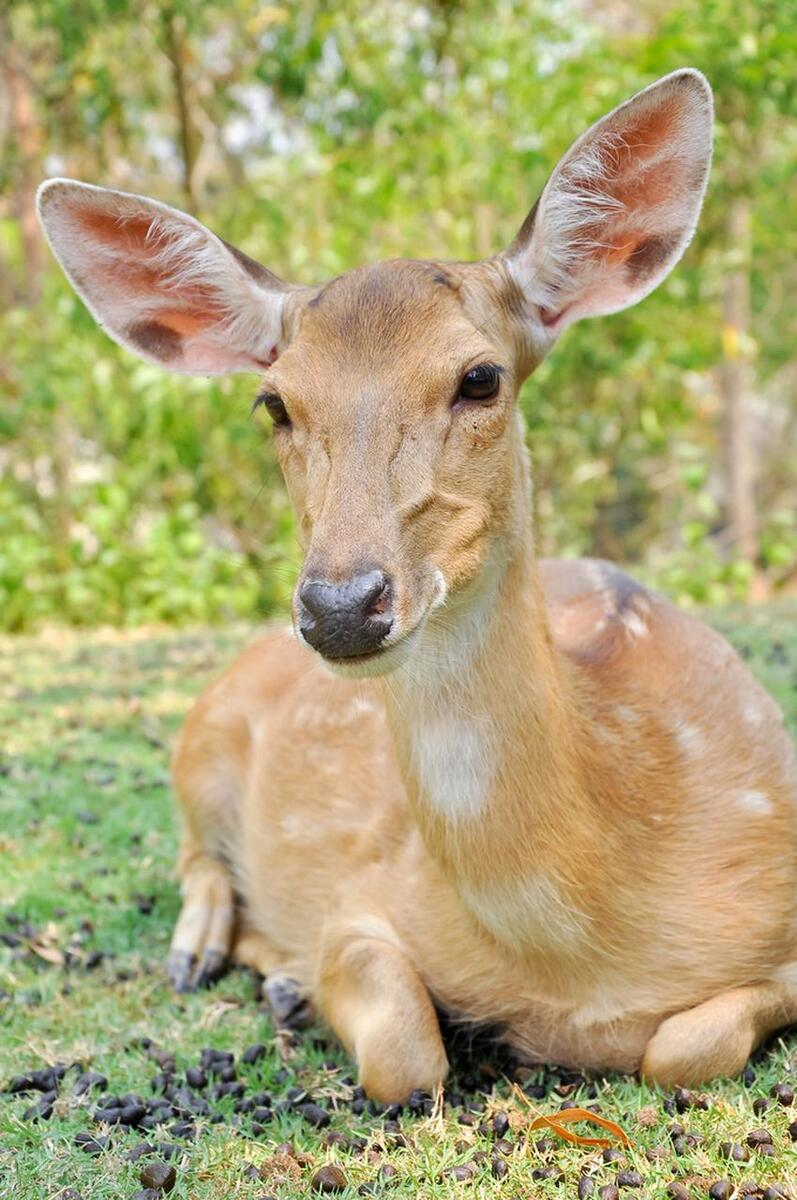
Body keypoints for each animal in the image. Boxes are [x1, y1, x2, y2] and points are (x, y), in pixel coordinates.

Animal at [37, 72, 797, 1104]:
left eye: (479, 377)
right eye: (273, 402)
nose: (341, 605)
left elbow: (686, 1045)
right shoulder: (364, 895)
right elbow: (404, 1053)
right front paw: (304, 982)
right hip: (199, 739)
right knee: (197, 855)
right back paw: (218, 957)